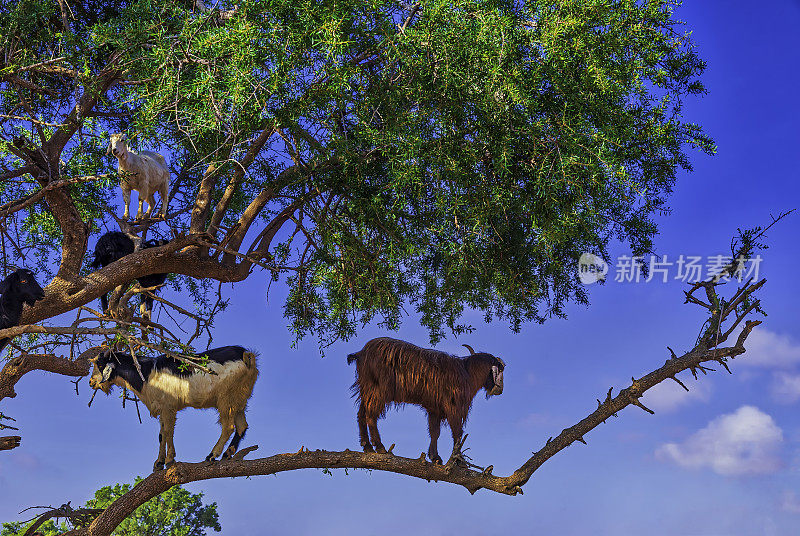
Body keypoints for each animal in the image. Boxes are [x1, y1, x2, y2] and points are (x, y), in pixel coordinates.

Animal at [90, 348, 260, 468]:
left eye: (100, 365)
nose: (91, 382)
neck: (145, 372)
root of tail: (246, 354)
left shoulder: (168, 406)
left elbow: (168, 432)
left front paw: (169, 460)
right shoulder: (162, 408)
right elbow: (161, 435)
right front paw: (159, 463)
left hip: (226, 398)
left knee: (228, 426)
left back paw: (212, 455)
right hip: (239, 397)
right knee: (242, 426)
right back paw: (227, 453)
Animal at [346, 338, 506, 462]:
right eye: (500, 370)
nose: (500, 389)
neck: (467, 372)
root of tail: (362, 353)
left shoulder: (435, 409)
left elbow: (435, 432)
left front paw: (435, 457)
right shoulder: (454, 406)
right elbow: (457, 432)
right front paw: (459, 460)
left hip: (366, 388)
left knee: (361, 414)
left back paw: (367, 446)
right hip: (379, 389)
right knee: (371, 414)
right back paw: (379, 447)